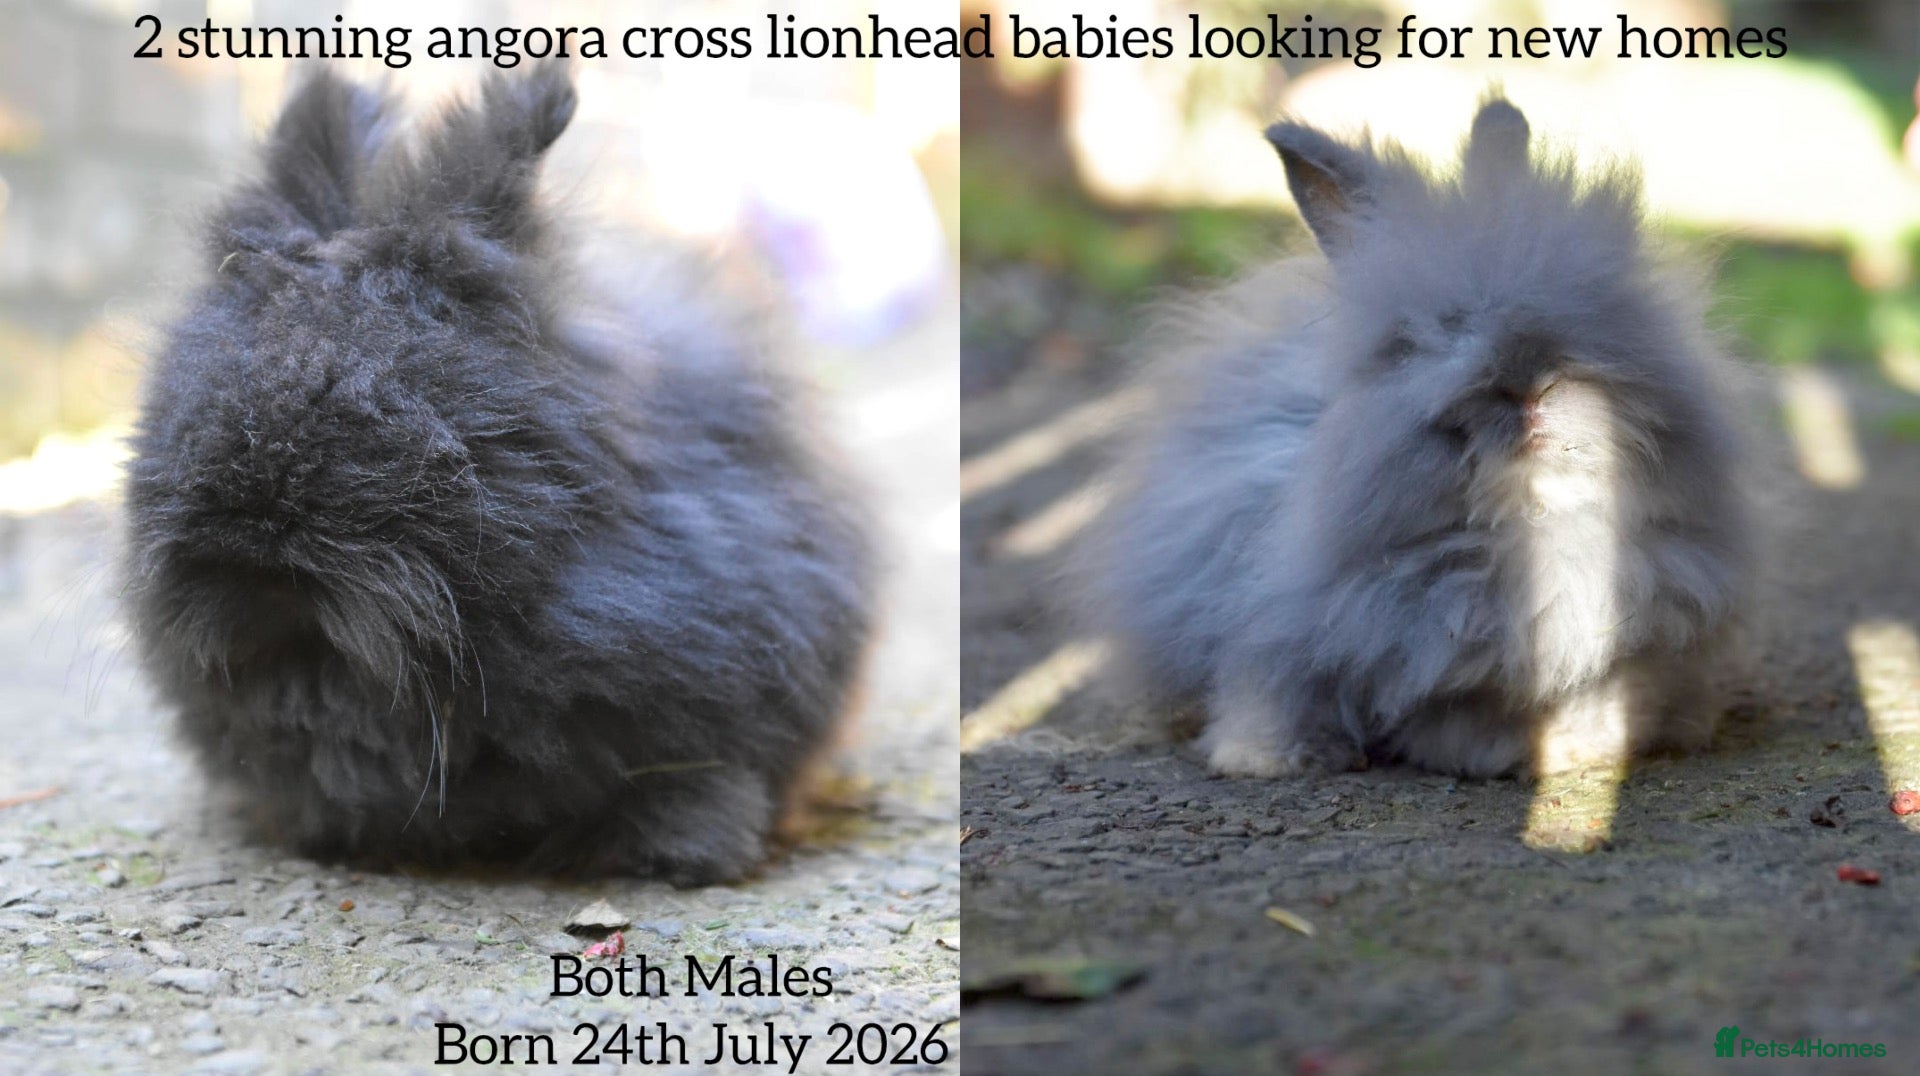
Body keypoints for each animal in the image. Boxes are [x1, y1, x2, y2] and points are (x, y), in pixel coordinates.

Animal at [1072, 95, 1752, 779]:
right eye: (1410, 342)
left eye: (1607, 303)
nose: (1526, 383)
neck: (1526, 530)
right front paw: (1264, 757)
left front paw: (1569, 747)